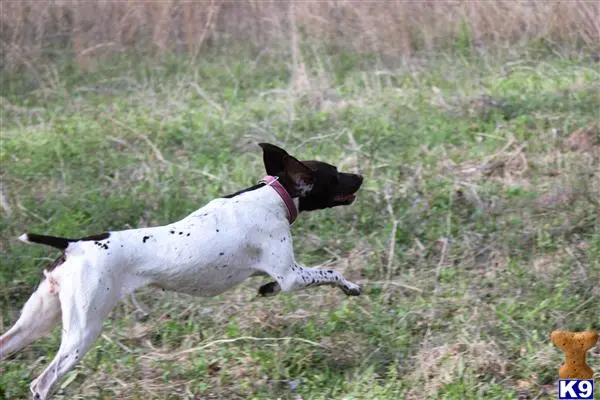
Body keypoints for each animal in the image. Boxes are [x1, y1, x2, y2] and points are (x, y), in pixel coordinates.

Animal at [0, 142, 364, 398]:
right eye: (335, 174)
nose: (360, 175)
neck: (273, 196)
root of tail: (73, 245)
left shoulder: (280, 273)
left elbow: (273, 283)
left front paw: (265, 290)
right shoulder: (291, 275)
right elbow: (331, 273)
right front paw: (351, 287)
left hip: (35, 322)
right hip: (82, 332)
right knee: (43, 383)